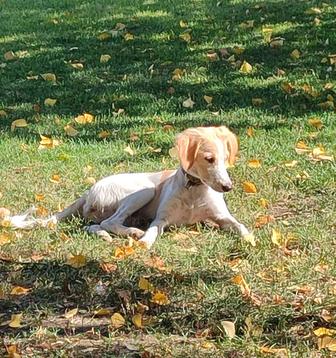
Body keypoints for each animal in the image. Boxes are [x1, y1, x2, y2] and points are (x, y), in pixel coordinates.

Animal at [6, 126, 251, 249]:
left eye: (225, 159)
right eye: (209, 159)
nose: (228, 187)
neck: (194, 189)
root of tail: (88, 191)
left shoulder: (221, 217)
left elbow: (240, 225)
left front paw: (250, 239)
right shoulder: (160, 219)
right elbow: (152, 231)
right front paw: (144, 242)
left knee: (95, 225)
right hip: (144, 190)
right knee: (110, 221)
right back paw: (133, 232)